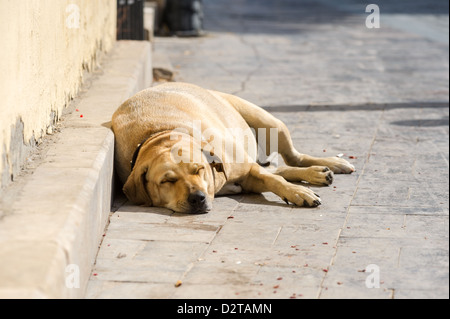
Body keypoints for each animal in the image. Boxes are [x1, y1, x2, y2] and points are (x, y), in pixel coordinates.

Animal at [110, 82, 354, 215]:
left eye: (199, 170)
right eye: (167, 181)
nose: (197, 198)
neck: (159, 135)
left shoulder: (246, 169)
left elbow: (275, 180)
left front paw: (298, 192)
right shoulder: (248, 181)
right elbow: (272, 176)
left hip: (269, 122)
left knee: (293, 158)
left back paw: (329, 164)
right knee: (280, 168)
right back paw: (318, 173)